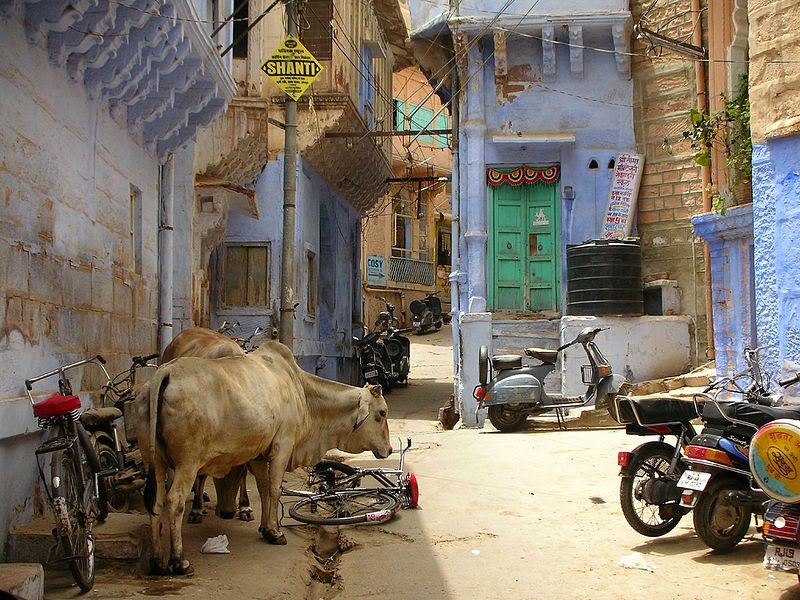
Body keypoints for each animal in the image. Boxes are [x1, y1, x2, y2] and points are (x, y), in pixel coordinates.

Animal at [138, 340, 394, 576]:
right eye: (382, 413)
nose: (389, 450)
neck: (303, 392)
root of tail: (165, 372)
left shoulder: (259, 455)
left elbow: (262, 488)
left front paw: (264, 527)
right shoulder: (283, 445)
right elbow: (274, 488)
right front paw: (275, 531)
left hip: (155, 460)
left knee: (155, 500)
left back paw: (157, 561)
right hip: (187, 464)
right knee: (175, 501)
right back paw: (179, 561)